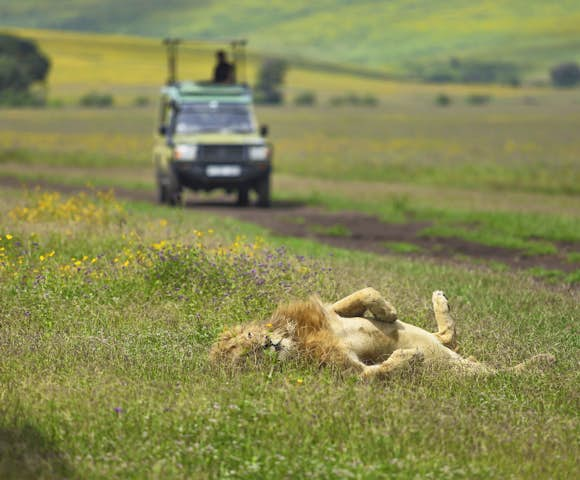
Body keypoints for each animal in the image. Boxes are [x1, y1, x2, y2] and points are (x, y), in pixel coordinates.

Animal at [211, 286, 556, 376]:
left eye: (249, 339)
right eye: (243, 359)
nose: (266, 346)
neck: (297, 339)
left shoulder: (330, 312)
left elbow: (363, 294)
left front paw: (387, 310)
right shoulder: (349, 371)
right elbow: (376, 373)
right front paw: (408, 358)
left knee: (447, 336)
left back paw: (439, 299)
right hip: (468, 373)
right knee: (501, 374)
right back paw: (544, 361)